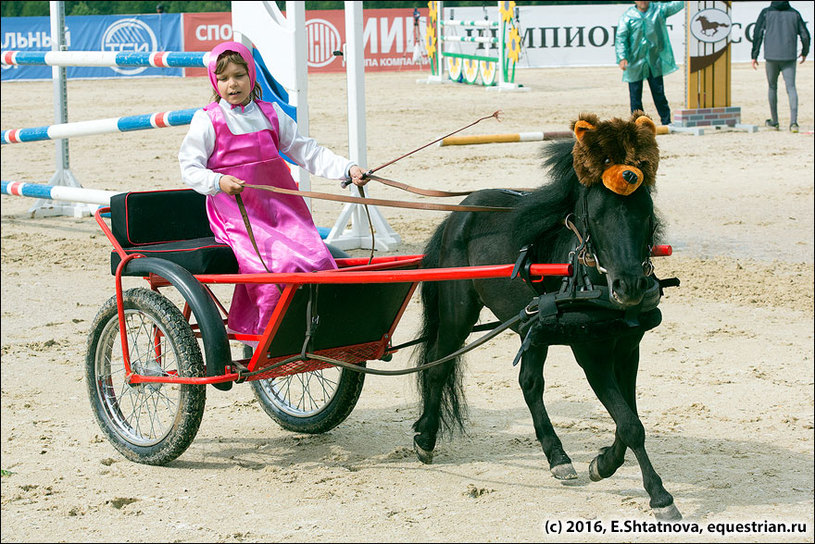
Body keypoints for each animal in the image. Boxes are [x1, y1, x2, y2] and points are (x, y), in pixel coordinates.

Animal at [414, 112, 684, 520]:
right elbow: (629, 423)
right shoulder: (591, 354)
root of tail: (459, 215)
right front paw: (659, 495)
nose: (629, 287)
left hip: (534, 325)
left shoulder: (627, 350)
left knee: (529, 384)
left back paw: (557, 456)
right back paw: (426, 438)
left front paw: (603, 463)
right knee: (437, 367)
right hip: (457, 314)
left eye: (645, 209)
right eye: (596, 215)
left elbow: (628, 420)